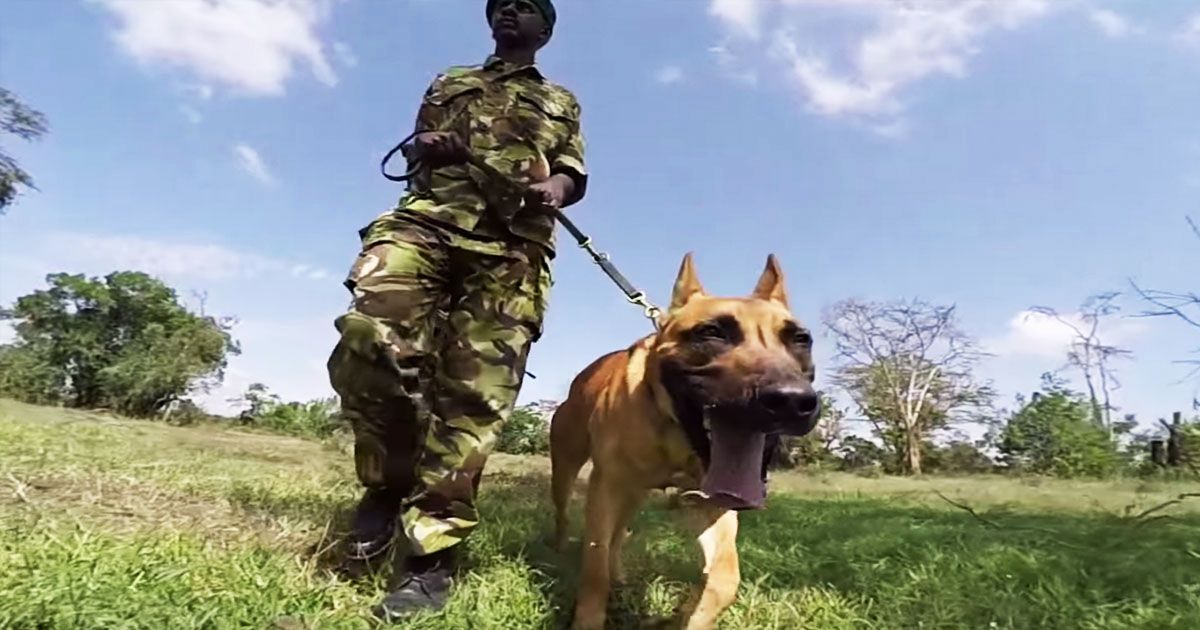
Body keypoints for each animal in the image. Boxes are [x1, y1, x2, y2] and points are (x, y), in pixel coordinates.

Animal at [549, 252, 820, 628]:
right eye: (712, 333)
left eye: (800, 339)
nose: (792, 400)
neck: (676, 434)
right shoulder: (605, 487)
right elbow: (594, 565)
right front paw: (588, 618)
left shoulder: (714, 501)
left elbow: (724, 577)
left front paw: (692, 611)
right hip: (567, 469)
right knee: (566, 517)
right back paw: (559, 549)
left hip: (632, 494)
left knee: (618, 536)